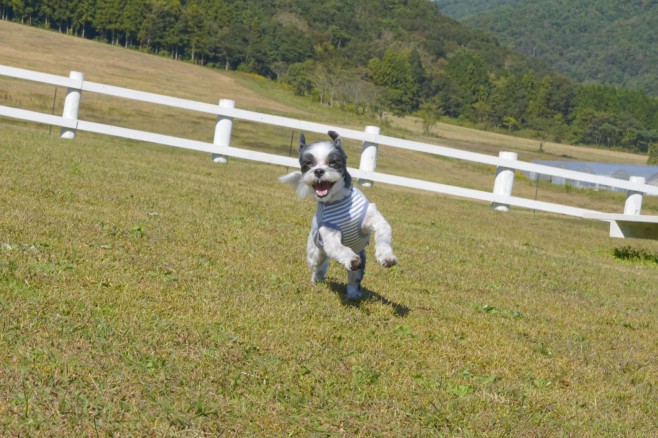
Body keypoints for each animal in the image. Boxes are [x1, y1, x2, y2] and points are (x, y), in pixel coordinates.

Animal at [278, 132, 394, 300]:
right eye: (309, 163)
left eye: (333, 162)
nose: (319, 171)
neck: (337, 200)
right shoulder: (329, 232)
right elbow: (339, 247)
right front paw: (351, 259)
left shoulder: (373, 217)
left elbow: (383, 233)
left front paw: (386, 256)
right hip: (315, 252)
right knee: (319, 267)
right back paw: (317, 280)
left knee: (354, 278)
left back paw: (353, 294)